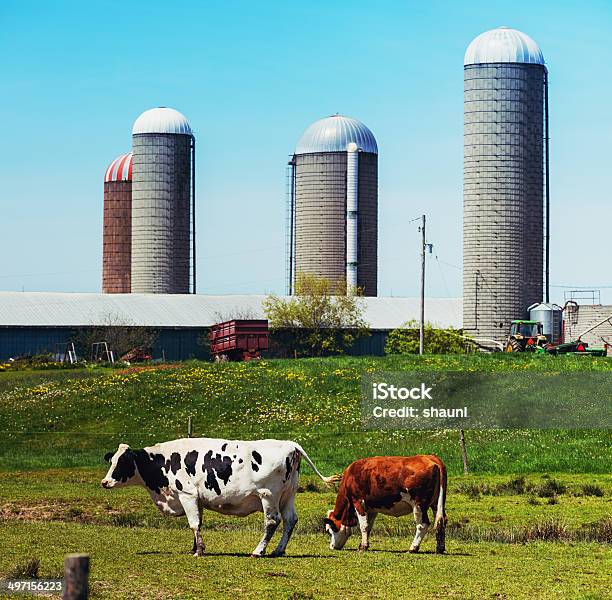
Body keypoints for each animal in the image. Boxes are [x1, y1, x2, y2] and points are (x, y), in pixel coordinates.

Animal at [101, 436, 340, 556]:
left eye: (122, 462)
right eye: (111, 460)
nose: (104, 482)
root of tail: (290, 444)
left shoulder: (186, 494)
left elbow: (193, 523)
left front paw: (199, 551)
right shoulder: (197, 499)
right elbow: (198, 523)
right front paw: (195, 547)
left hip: (268, 495)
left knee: (272, 522)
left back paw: (259, 551)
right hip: (288, 495)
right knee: (290, 521)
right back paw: (278, 551)